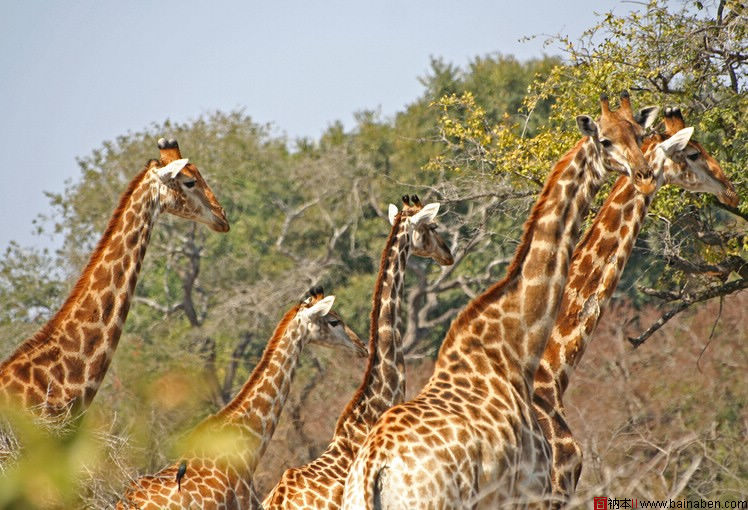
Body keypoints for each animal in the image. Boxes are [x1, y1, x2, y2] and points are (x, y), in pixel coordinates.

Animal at [342, 91, 656, 510]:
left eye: (639, 133)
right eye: (605, 140)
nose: (644, 174)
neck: (515, 347)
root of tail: (374, 468)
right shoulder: (533, 490)